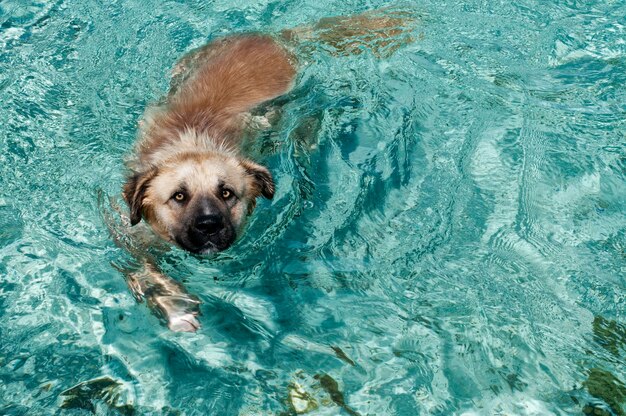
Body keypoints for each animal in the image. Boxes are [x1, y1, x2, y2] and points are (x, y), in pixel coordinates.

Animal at [114, 8, 416, 332]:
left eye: (226, 193)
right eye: (178, 196)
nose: (209, 225)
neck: (192, 144)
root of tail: (274, 36)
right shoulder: (127, 232)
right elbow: (144, 270)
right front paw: (174, 305)